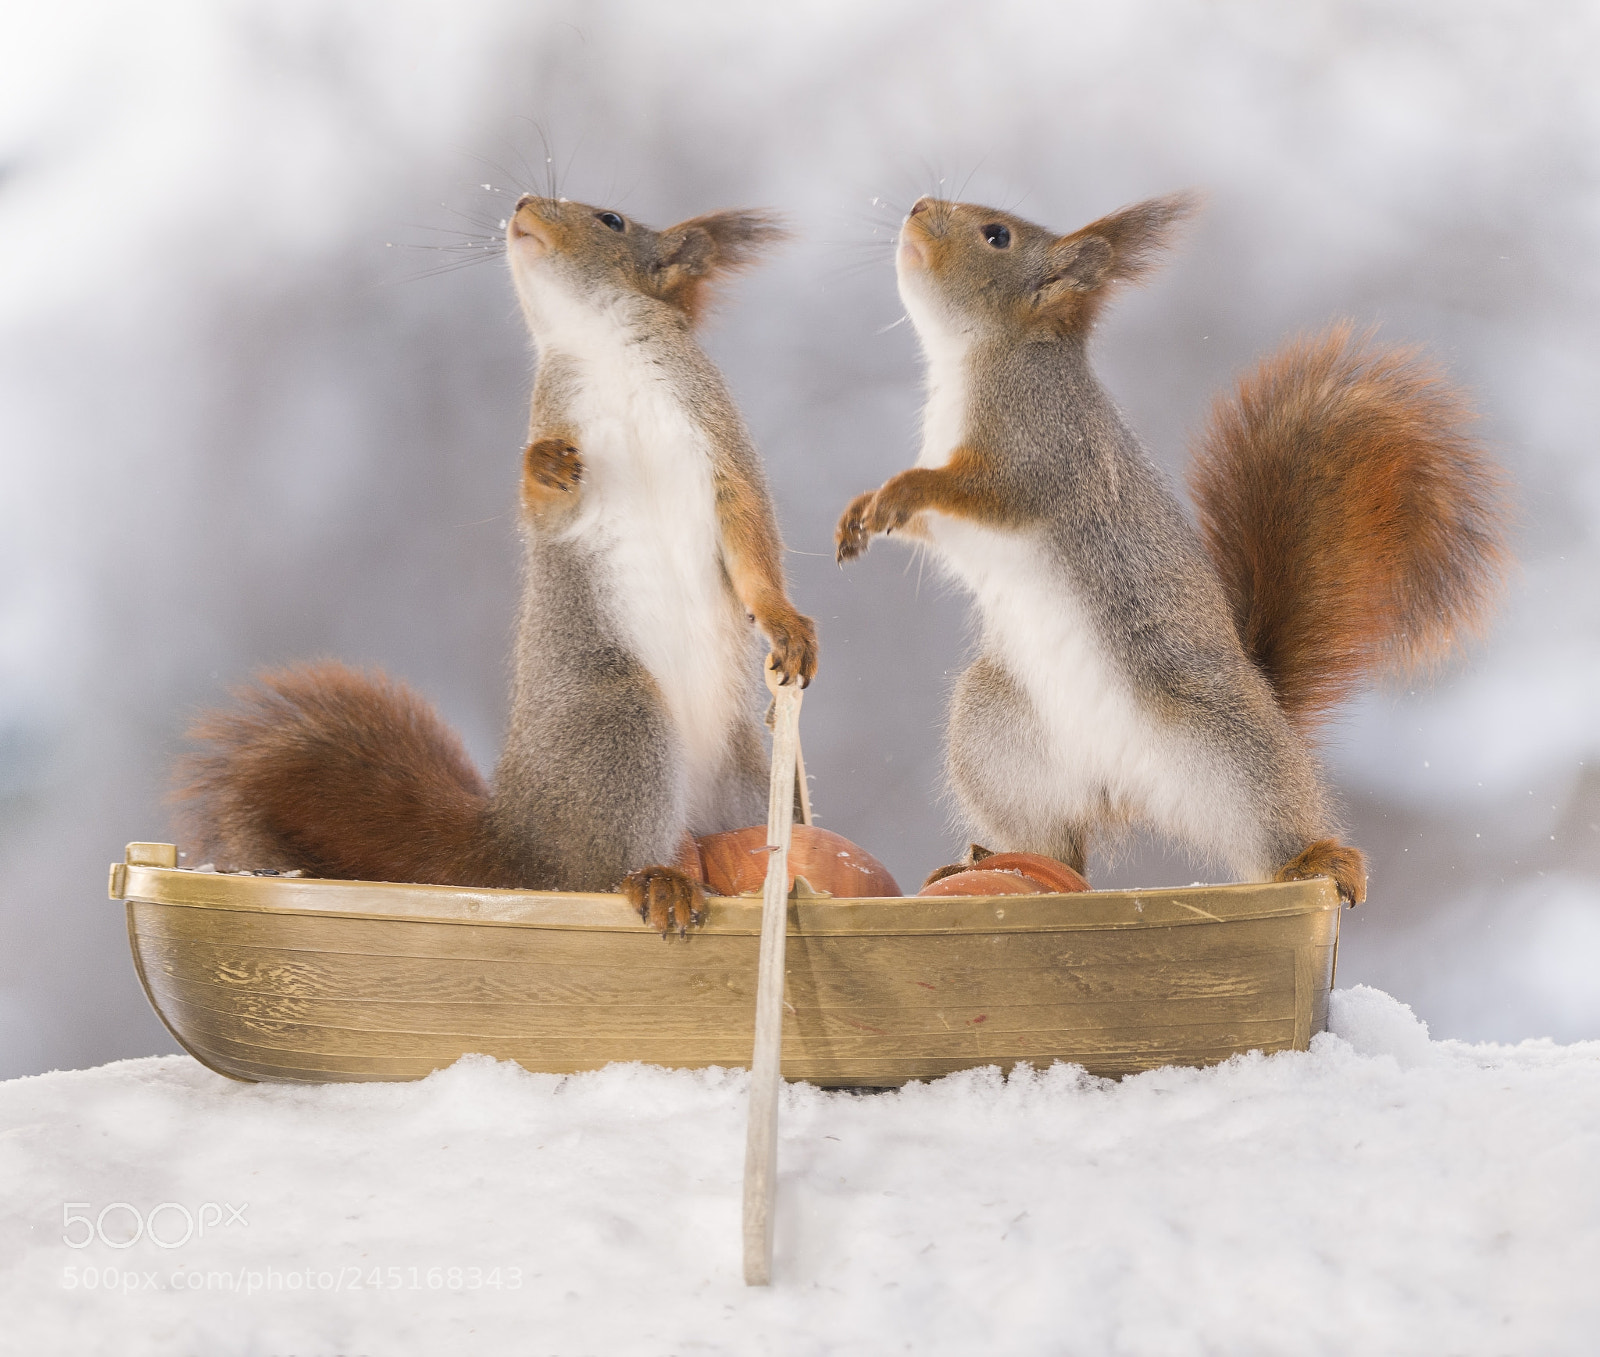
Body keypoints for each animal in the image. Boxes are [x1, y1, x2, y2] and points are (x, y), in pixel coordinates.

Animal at [175, 194, 818, 935]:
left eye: (612, 220)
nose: (522, 206)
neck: (603, 352)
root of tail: (518, 842)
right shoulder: (560, 429)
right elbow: (547, 515)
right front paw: (541, 468)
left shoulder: (718, 440)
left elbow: (752, 538)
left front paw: (785, 623)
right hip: (620, 721)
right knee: (596, 871)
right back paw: (659, 878)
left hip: (738, 770)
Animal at [836, 191, 1510, 904]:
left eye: (997, 236)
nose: (917, 206)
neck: (975, 358)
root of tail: (1122, 790)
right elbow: (928, 527)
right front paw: (861, 513)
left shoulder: (1041, 451)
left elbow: (987, 490)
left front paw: (898, 491)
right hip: (998, 738)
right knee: (1062, 852)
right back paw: (995, 863)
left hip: (1227, 747)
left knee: (1268, 830)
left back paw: (1318, 861)